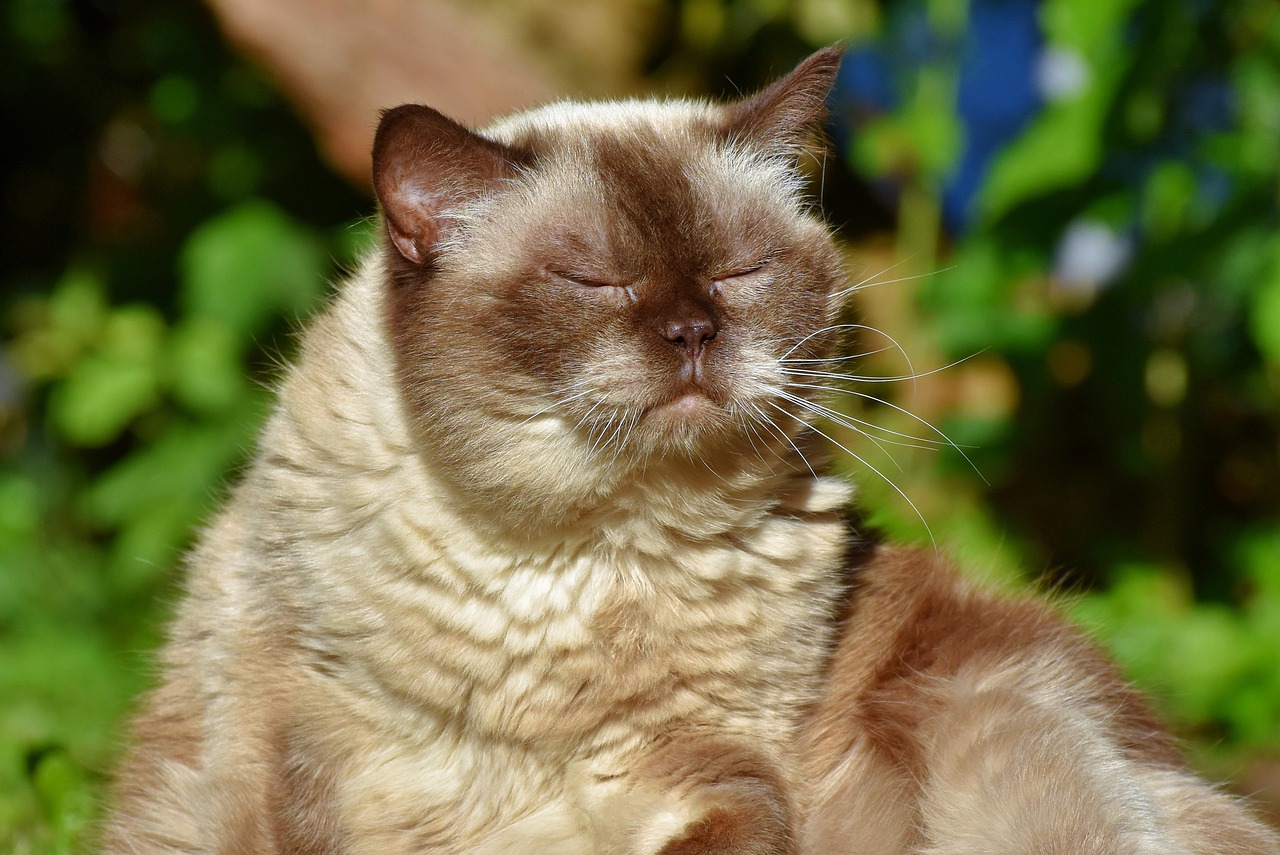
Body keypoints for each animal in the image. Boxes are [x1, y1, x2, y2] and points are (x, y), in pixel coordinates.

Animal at [102, 48, 1280, 855]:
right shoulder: (290, 750)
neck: (576, 556)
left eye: (738, 273)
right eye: (596, 282)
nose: (690, 332)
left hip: (996, 715)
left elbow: (730, 826)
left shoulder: (706, 770)